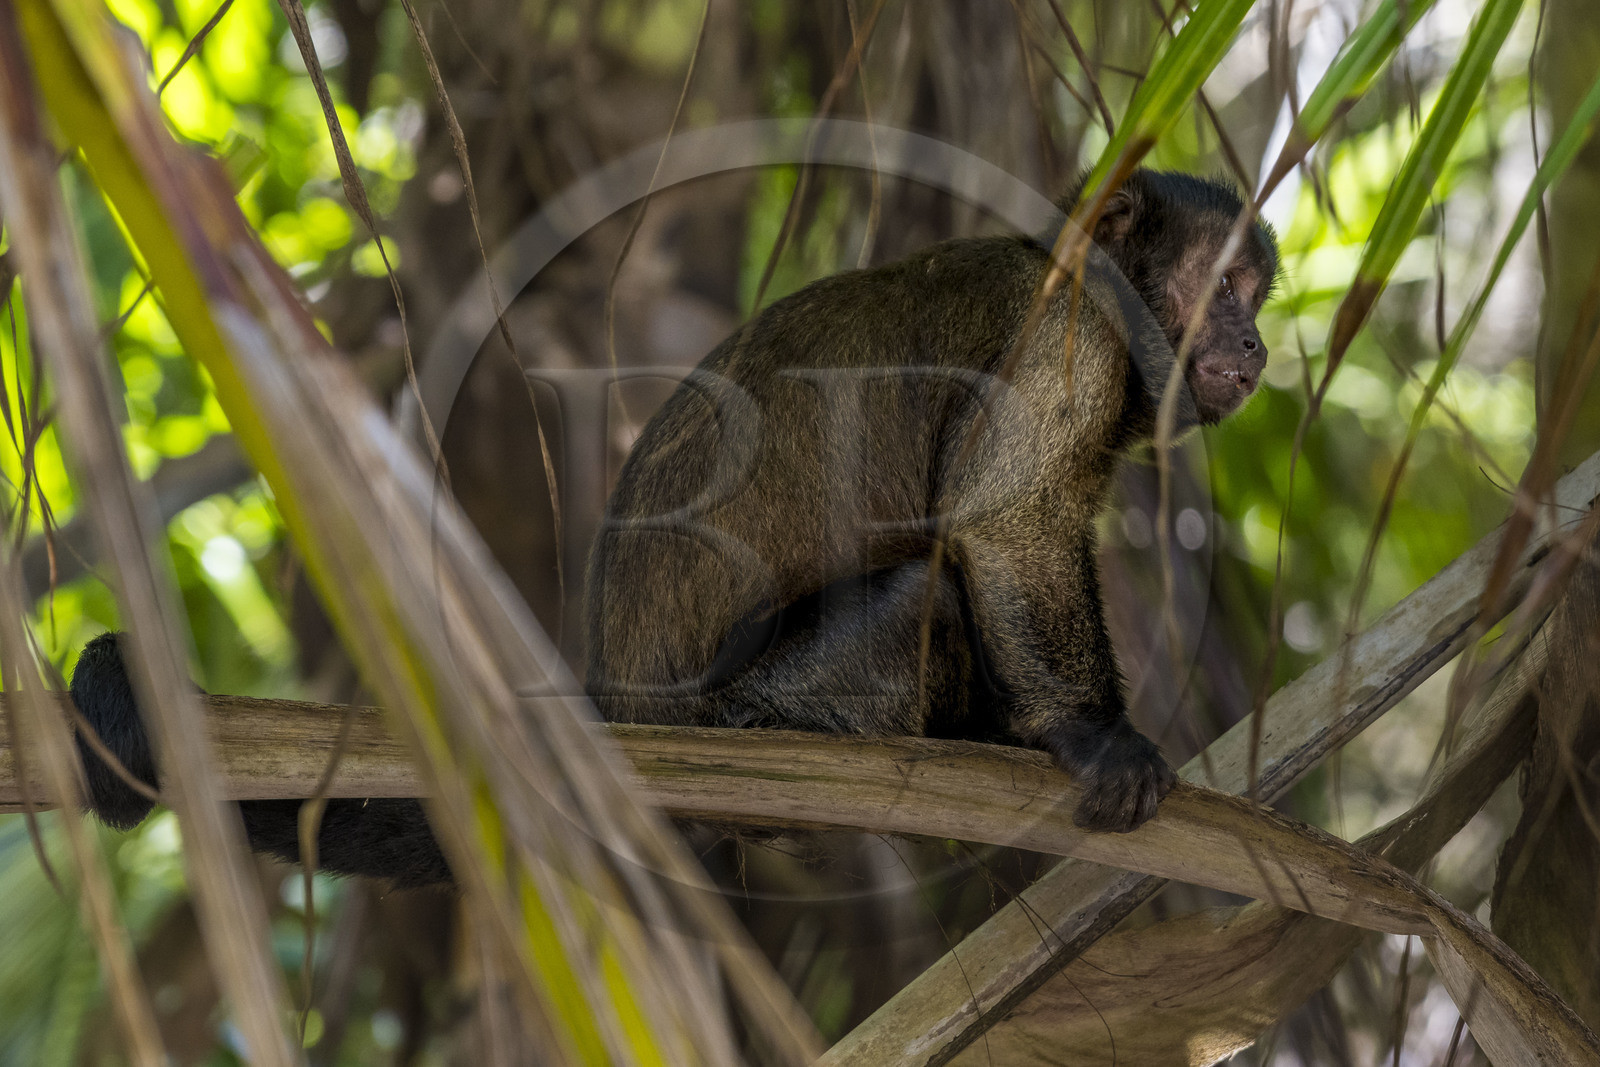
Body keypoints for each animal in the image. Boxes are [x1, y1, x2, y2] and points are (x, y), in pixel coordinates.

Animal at [68, 169, 1278, 888]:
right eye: (1229, 286)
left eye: (1258, 295)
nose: (1259, 341)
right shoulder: (1075, 334)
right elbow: (1001, 522)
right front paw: (1087, 734)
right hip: (757, 716)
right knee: (920, 591)